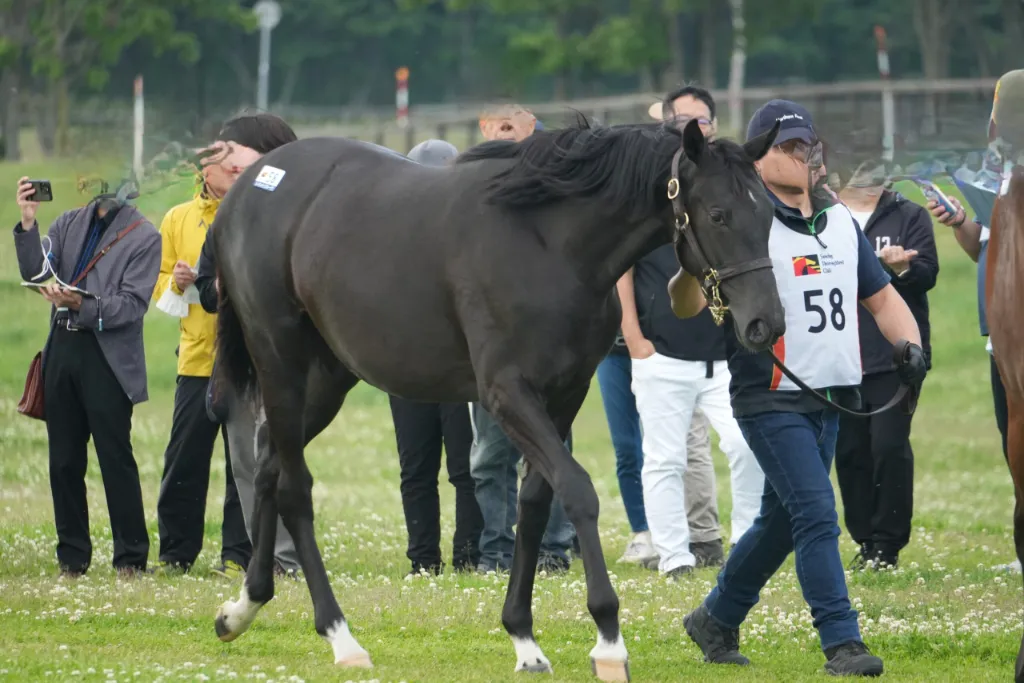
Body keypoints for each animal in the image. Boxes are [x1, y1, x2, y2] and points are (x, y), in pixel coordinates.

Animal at [208, 116, 784, 681]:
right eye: (718, 214)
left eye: (768, 215)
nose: (767, 324)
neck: (548, 243)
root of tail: (251, 183)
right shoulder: (507, 393)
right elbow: (577, 490)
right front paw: (608, 641)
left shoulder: (564, 394)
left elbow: (534, 502)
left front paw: (524, 639)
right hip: (281, 363)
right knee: (295, 487)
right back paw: (340, 635)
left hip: (329, 377)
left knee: (268, 461)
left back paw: (243, 607)